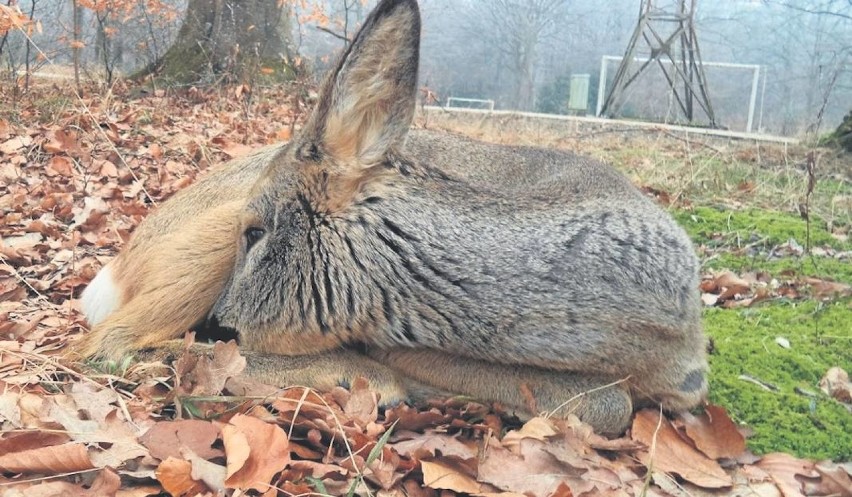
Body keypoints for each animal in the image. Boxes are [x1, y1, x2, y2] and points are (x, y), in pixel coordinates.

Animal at [76, 0, 708, 434]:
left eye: (257, 234)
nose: (216, 326)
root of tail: (121, 262)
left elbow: (611, 401)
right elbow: (609, 401)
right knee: (102, 346)